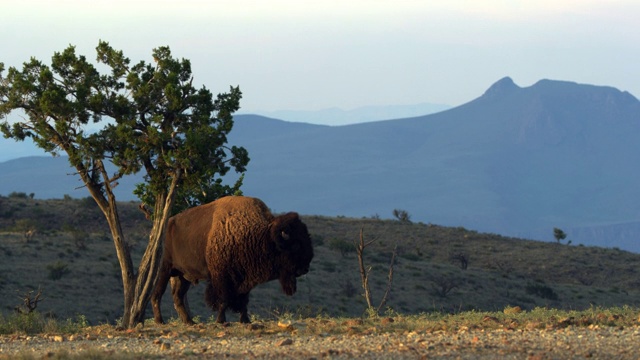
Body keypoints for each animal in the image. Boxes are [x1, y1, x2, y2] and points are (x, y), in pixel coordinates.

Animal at [148, 195, 312, 324]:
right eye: (296, 245)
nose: (305, 268)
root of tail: (160, 232)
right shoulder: (222, 278)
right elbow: (223, 299)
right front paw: (221, 320)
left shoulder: (245, 279)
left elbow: (243, 301)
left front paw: (245, 320)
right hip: (164, 270)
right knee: (157, 294)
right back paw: (160, 321)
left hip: (182, 276)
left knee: (178, 297)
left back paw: (190, 322)